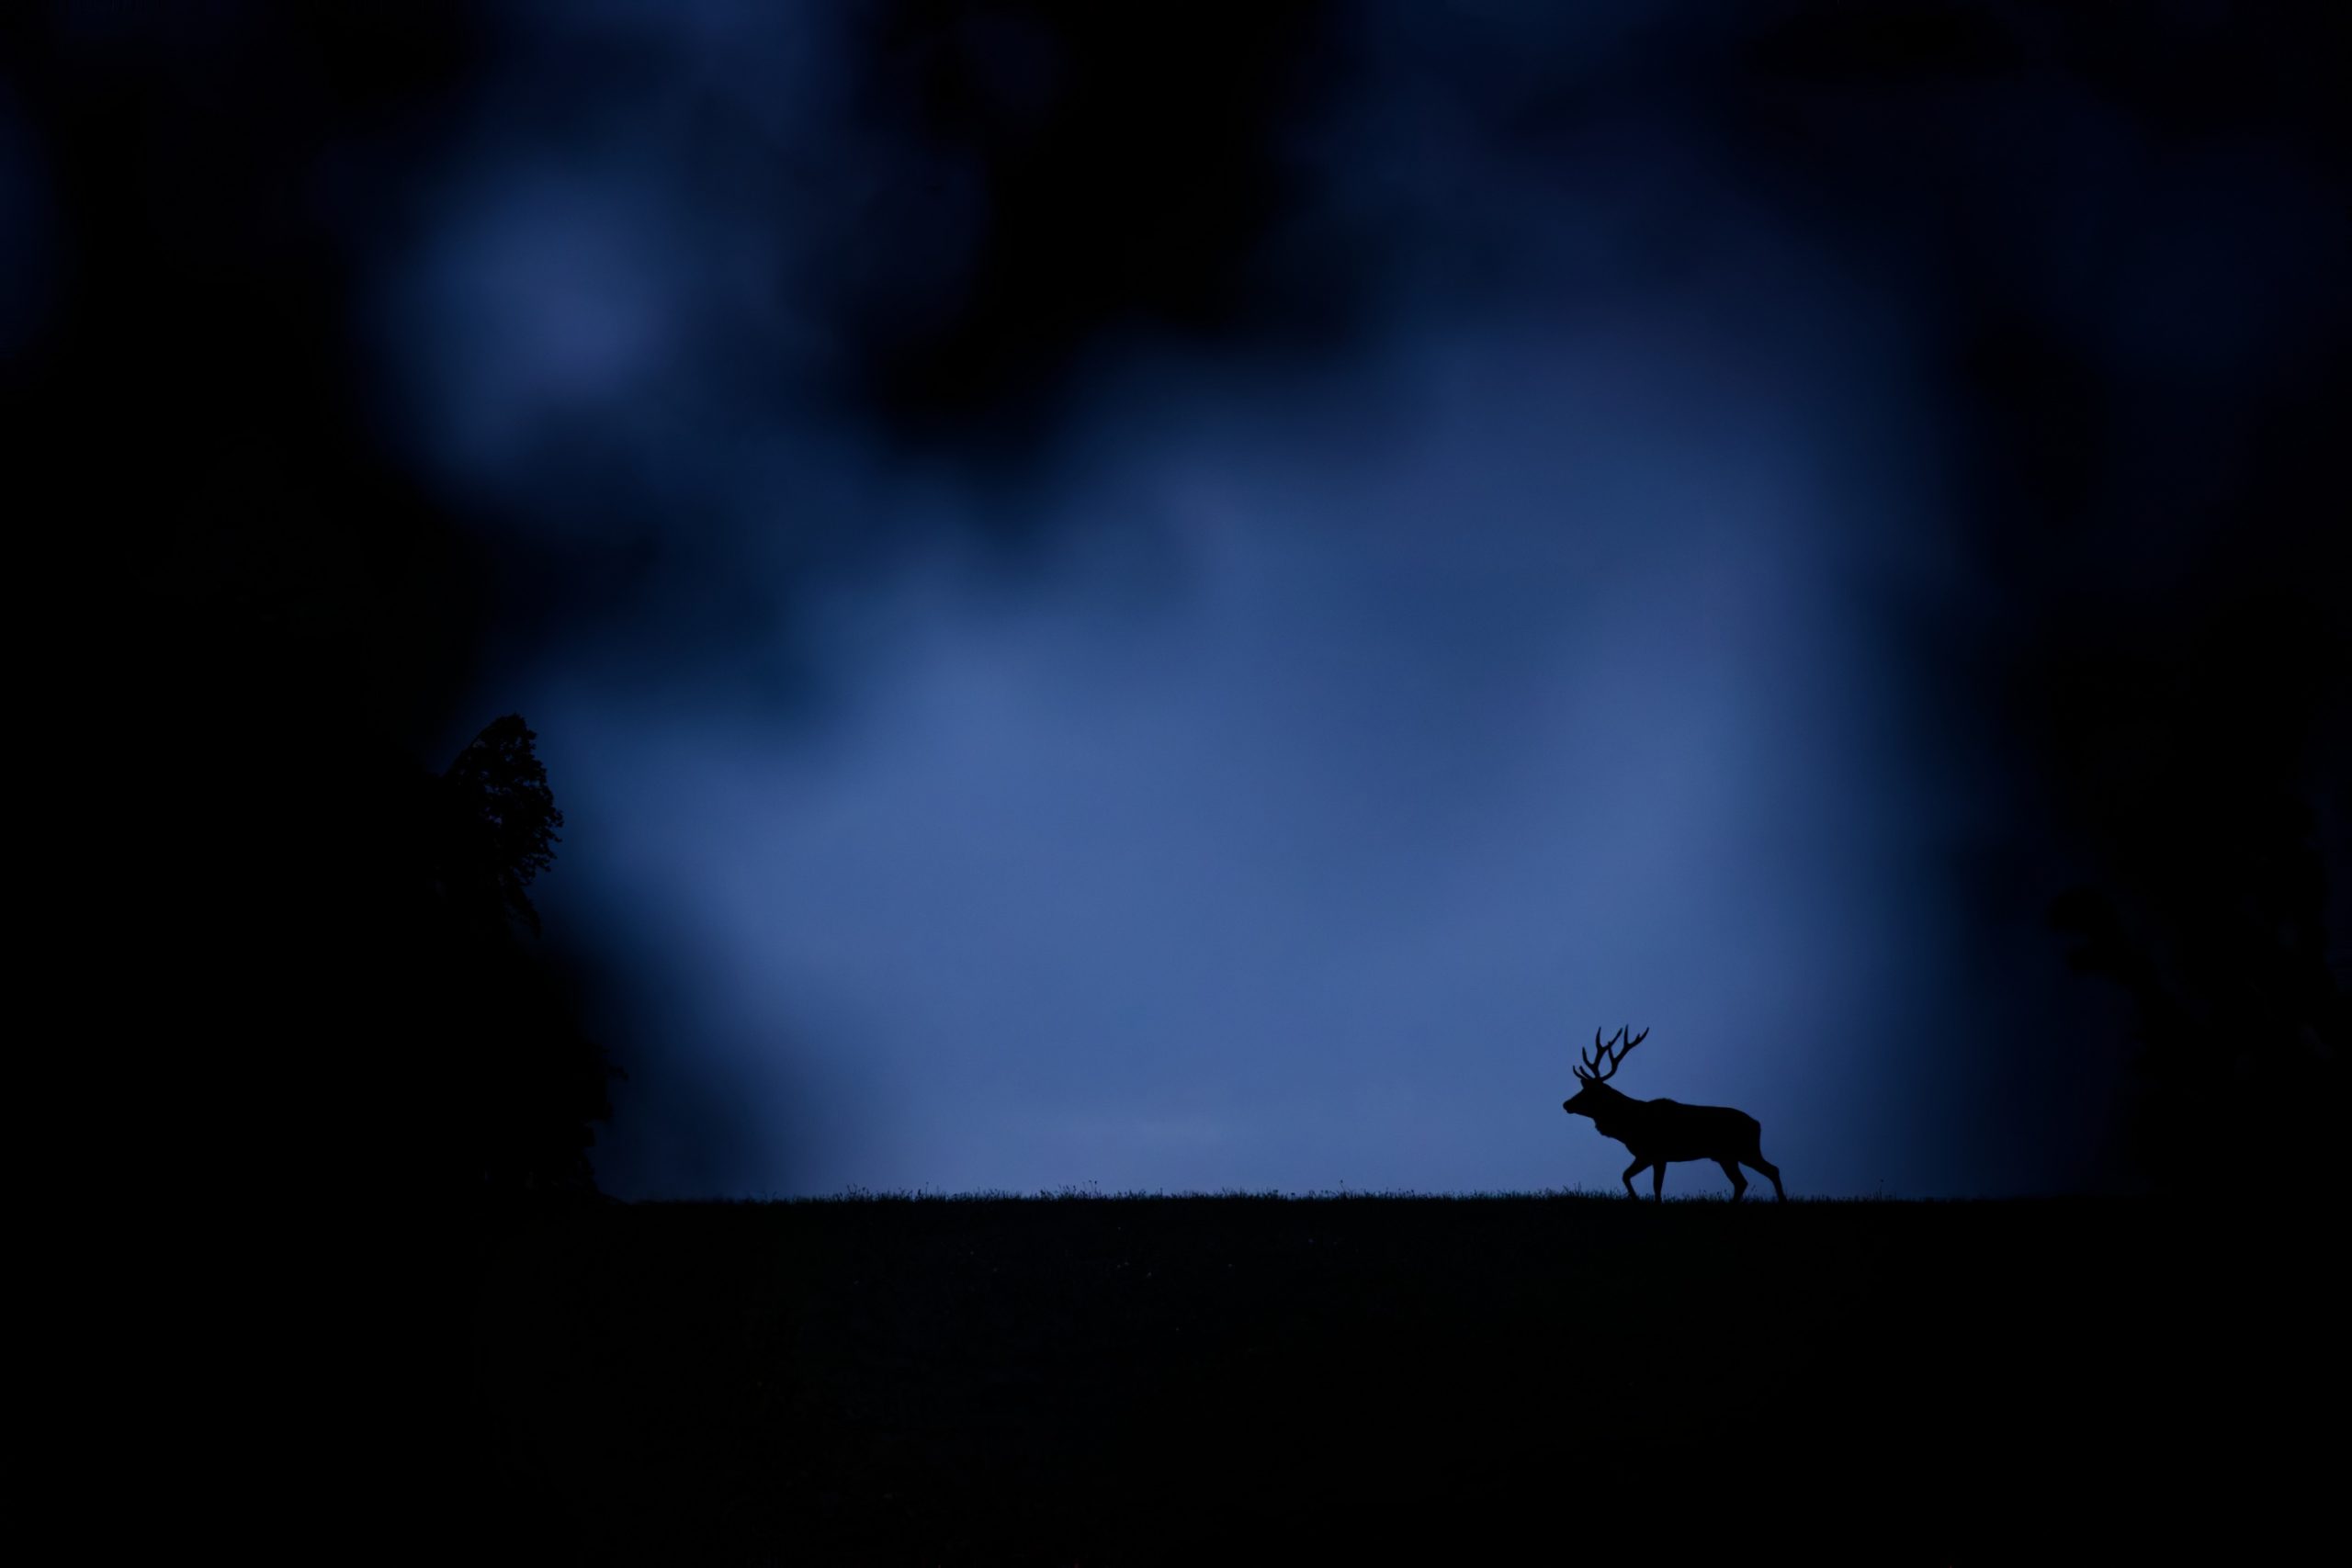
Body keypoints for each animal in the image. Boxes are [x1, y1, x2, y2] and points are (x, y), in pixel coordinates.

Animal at [1562, 1026, 1785, 1201]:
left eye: (1589, 1093)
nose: (1566, 1104)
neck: (1629, 1126)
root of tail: (1757, 1124)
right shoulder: (1647, 1155)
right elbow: (1626, 1176)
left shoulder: (1657, 1154)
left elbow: (1655, 1186)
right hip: (1727, 1156)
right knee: (1743, 1182)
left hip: (1745, 1150)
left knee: (1770, 1170)